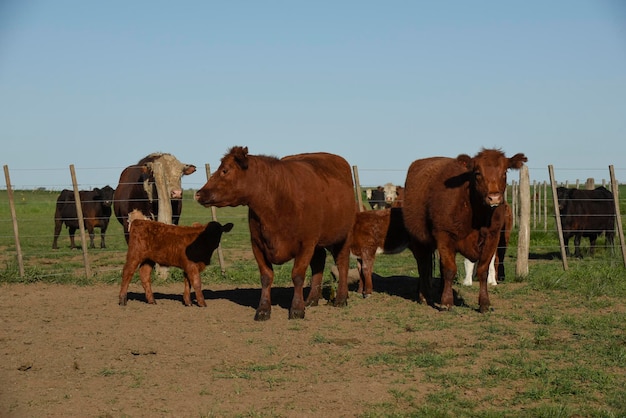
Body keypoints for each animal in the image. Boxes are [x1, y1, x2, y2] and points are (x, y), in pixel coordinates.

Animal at [194, 145, 356, 322]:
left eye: (225, 170)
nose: (198, 193)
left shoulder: (306, 243)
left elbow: (297, 276)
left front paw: (296, 309)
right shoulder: (257, 244)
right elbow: (266, 277)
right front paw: (263, 309)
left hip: (343, 236)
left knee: (342, 263)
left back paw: (340, 299)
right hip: (318, 243)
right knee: (319, 263)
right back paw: (312, 300)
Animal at [400, 149, 528, 312]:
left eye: (504, 172)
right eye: (477, 173)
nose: (494, 198)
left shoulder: (492, 238)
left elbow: (483, 270)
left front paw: (484, 303)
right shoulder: (445, 235)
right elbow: (450, 269)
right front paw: (447, 302)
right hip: (419, 240)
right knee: (423, 266)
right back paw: (424, 296)